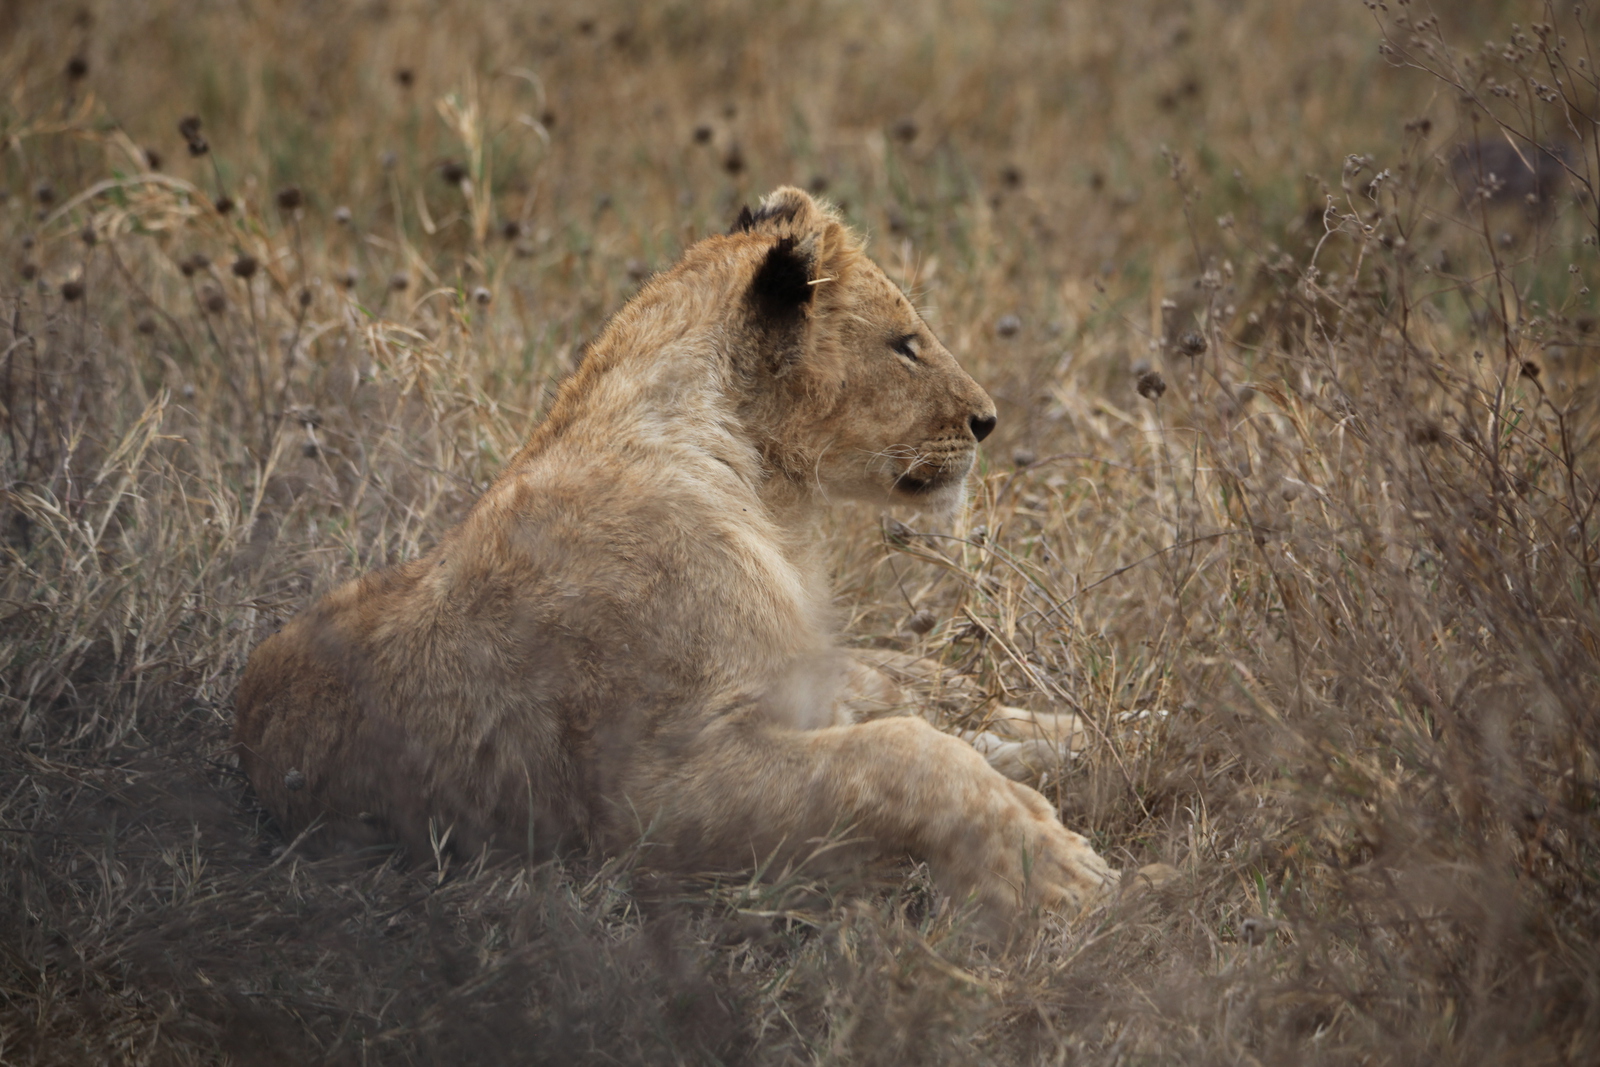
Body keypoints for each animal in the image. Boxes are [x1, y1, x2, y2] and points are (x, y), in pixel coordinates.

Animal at [233, 187, 1113, 921]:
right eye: (906, 344)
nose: (987, 420)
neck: (757, 487)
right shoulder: (648, 793)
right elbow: (900, 753)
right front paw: (1055, 865)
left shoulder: (793, 686)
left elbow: (923, 718)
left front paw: (1055, 782)